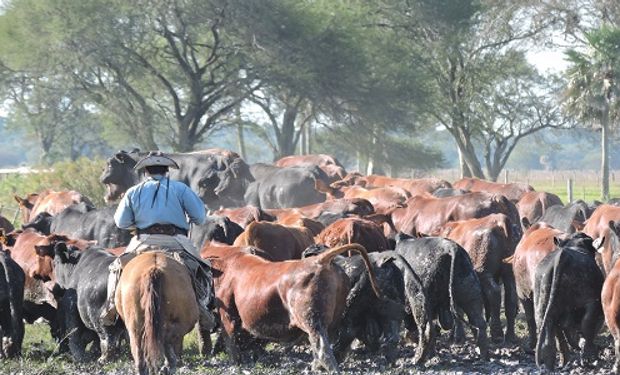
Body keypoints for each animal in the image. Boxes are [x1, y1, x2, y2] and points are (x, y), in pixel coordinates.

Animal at [201, 244, 380, 374]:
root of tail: (320, 260)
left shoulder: (228, 316)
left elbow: (231, 342)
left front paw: (236, 363)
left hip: (312, 321)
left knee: (323, 351)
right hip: (331, 322)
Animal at [436, 214, 520, 344]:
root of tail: (499, 219)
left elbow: (457, 309)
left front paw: (458, 336)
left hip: (482, 270)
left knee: (494, 293)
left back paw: (497, 334)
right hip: (509, 272)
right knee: (510, 298)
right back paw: (510, 336)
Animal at [532, 234, 604, 372]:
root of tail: (562, 257)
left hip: (542, 307)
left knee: (550, 333)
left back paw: (551, 365)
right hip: (589, 301)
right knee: (587, 324)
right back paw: (589, 358)